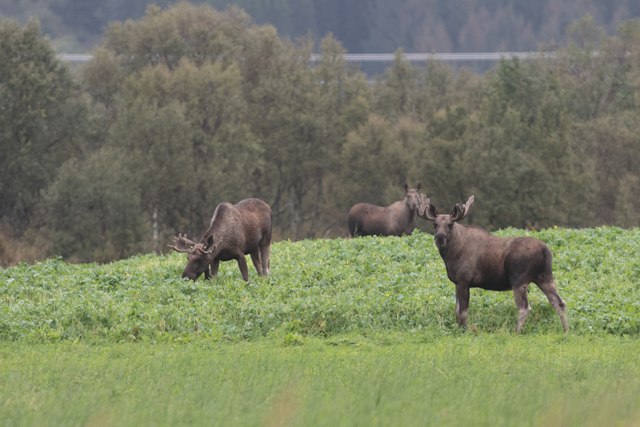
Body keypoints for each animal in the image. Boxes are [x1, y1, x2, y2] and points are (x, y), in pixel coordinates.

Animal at [416, 195, 568, 334]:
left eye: (450, 224)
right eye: (435, 224)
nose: (440, 238)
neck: (450, 255)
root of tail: (545, 250)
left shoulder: (464, 281)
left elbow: (463, 312)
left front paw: (464, 332)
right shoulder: (456, 282)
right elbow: (456, 311)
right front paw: (458, 330)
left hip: (519, 279)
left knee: (525, 308)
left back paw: (516, 332)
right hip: (545, 277)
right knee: (559, 302)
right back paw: (566, 331)